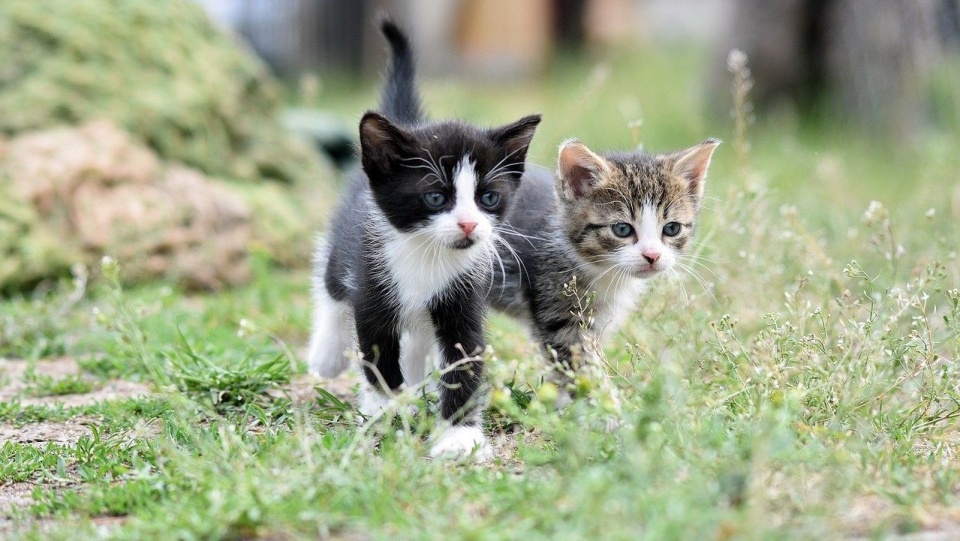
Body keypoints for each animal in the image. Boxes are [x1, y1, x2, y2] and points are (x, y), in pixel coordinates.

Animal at [312, 21, 544, 460]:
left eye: (488, 198)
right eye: (436, 197)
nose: (469, 225)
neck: (426, 256)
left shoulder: (463, 296)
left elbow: (464, 357)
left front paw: (458, 435)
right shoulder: (372, 287)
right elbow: (378, 357)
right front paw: (387, 409)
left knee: (418, 337)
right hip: (345, 252)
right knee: (330, 286)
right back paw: (326, 354)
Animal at [492, 137, 716, 384]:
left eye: (672, 228)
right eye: (622, 229)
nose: (652, 255)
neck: (602, 271)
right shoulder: (557, 311)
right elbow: (580, 365)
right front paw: (601, 393)